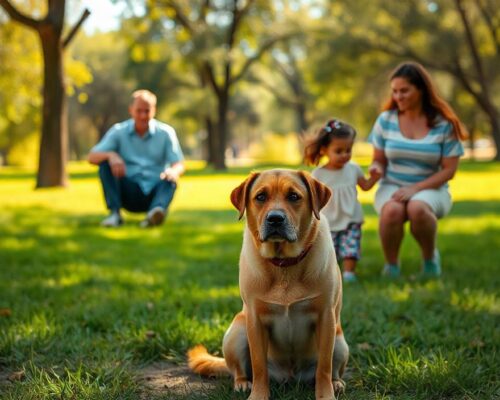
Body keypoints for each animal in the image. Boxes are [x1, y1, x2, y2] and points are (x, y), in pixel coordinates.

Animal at [187, 170, 348, 400]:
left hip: (341, 343)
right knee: (239, 370)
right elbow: (259, 365)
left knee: (330, 370)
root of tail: (290, 377)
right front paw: (258, 395)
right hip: (236, 332)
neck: (284, 264)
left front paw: (326, 395)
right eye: (261, 197)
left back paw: (336, 383)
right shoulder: (255, 319)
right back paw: (242, 383)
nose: (275, 218)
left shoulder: (326, 317)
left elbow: (324, 368)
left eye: (294, 196)